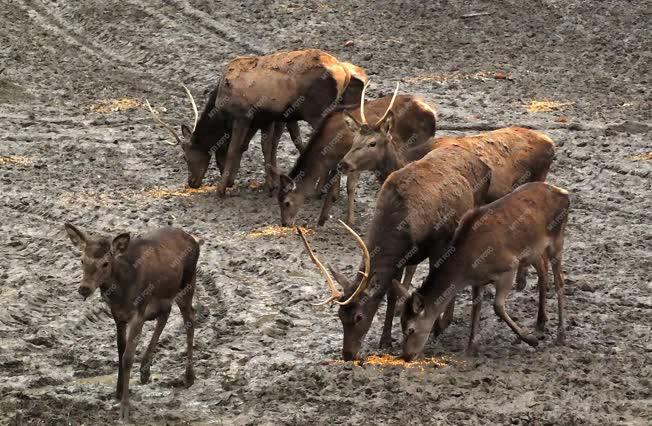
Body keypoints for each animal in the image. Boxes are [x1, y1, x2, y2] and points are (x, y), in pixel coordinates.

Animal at [65, 225, 201, 422]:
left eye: (105, 263)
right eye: (82, 260)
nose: (84, 288)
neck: (122, 290)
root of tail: (192, 238)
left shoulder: (138, 312)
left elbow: (128, 357)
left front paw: (124, 410)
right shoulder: (118, 315)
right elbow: (120, 349)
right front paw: (118, 391)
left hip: (188, 282)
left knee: (189, 319)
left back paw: (189, 376)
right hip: (161, 296)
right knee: (165, 313)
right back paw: (145, 371)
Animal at [145, 49, 366, 195]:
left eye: (185, 156)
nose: (191, 182)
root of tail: (344, 72)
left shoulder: (243, 115)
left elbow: (236, 148)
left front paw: (221, 188)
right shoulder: (267, 118)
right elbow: (264, 147)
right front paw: (271, 183)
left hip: (318, 111)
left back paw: (325, 190)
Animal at [272, 85, 436, 226]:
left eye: (287, 202)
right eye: (278, 200)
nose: (285, 223)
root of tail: (432, 111)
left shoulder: (350, 163)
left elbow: (349, 187)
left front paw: (349, 220)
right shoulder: (338, 162)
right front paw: (323, 212)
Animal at [298, 146, 492, 360]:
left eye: (359, 316)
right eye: (340, 315)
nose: (348, 354)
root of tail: (484, 164)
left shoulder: (438, 244)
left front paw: (438, 325)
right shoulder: (400, 259)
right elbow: (391, 294)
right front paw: (385, 340)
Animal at [394, 181, 568, 362]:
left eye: (411, 329)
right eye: (401, 325)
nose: (406, 356)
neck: (467, 267)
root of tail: (563, 192)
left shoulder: (509, 266)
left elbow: (497, 306)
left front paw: (530, 339)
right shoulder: (477, 281)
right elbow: (475, 308)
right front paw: (471, 348)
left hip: (557, 239)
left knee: (560, 280)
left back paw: (560, 335)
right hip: (533, 251)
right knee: (543, 271)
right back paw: (540, 323)